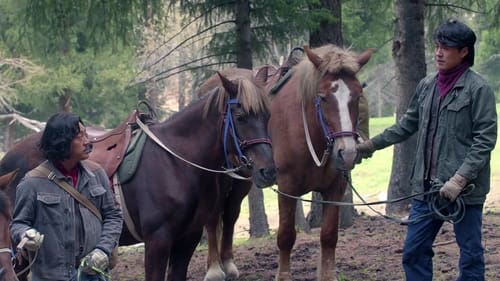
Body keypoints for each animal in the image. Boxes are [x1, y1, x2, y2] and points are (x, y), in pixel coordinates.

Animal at [0, 71, 276, 278]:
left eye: (267, 115)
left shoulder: (187, 239)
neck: (175, 164)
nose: (268, 170)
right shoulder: (157, 241)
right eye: (240, 117)